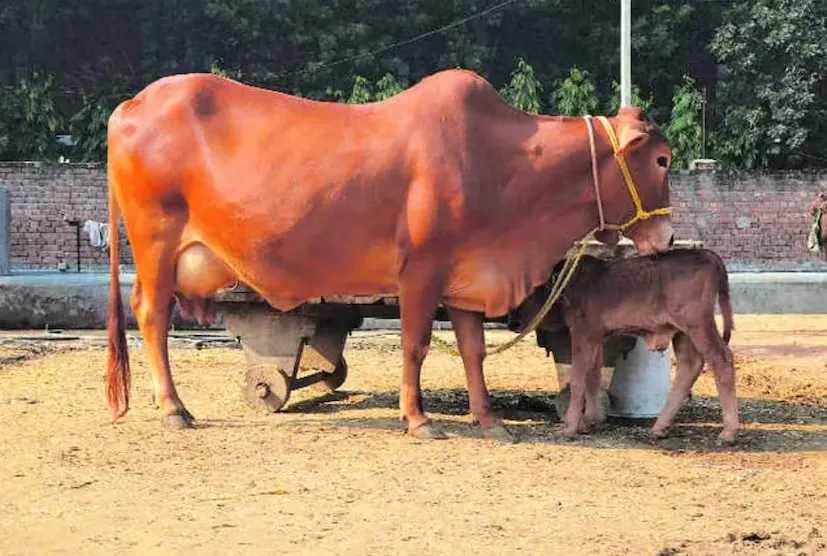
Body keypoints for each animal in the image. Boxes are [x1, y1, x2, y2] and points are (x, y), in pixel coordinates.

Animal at [105, 69, 674, 442]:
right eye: (663, 159)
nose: (667, 238)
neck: (501, 163)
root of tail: (129, 106)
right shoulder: (421, 272)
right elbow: (415, 346)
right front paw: (418, 418)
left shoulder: (465, 277)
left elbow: (473, 351)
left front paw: (488, 418)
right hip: (155, 241)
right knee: (151, 315)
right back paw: (174, 408)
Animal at [508, 248, 738, 444]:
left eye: (528, 291)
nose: (512, 322)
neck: (567, 283)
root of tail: (708, 254)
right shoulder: (597, 337)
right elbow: (593, 378)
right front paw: (590, 422)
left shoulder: (583, 334)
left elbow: (578, 380)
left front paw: (570, 428)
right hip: (682, 332)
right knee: (690, 366)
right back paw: (660, 427)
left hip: (698, 325)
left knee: (722, 360)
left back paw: (728, 432)